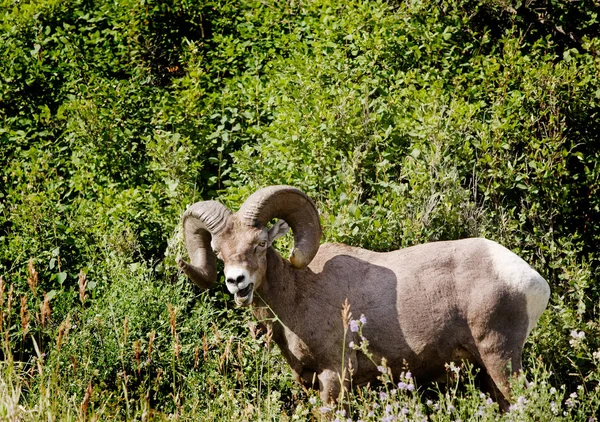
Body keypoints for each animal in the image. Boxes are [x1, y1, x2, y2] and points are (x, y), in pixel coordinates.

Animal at [177, 185, 548, 408]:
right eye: (218, 252)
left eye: (260, 244)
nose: (236, 282)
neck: (298, 297)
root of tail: (531, 281)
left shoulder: (334, 375)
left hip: (500, 359)